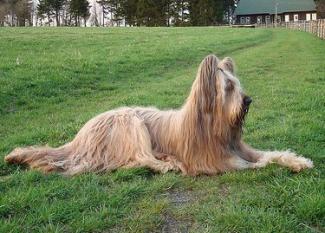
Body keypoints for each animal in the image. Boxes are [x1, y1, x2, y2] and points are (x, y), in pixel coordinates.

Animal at [3, 54, 312, 175]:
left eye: (238, 85)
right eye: (228, 88)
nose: (248, 100)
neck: (214, 125)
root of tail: (80, 136)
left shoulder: (240, 148)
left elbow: (270, 154)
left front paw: (298, 160)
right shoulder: (215, 161)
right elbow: (258, 164)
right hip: (131, 124)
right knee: (139, 159)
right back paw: (167, 163)